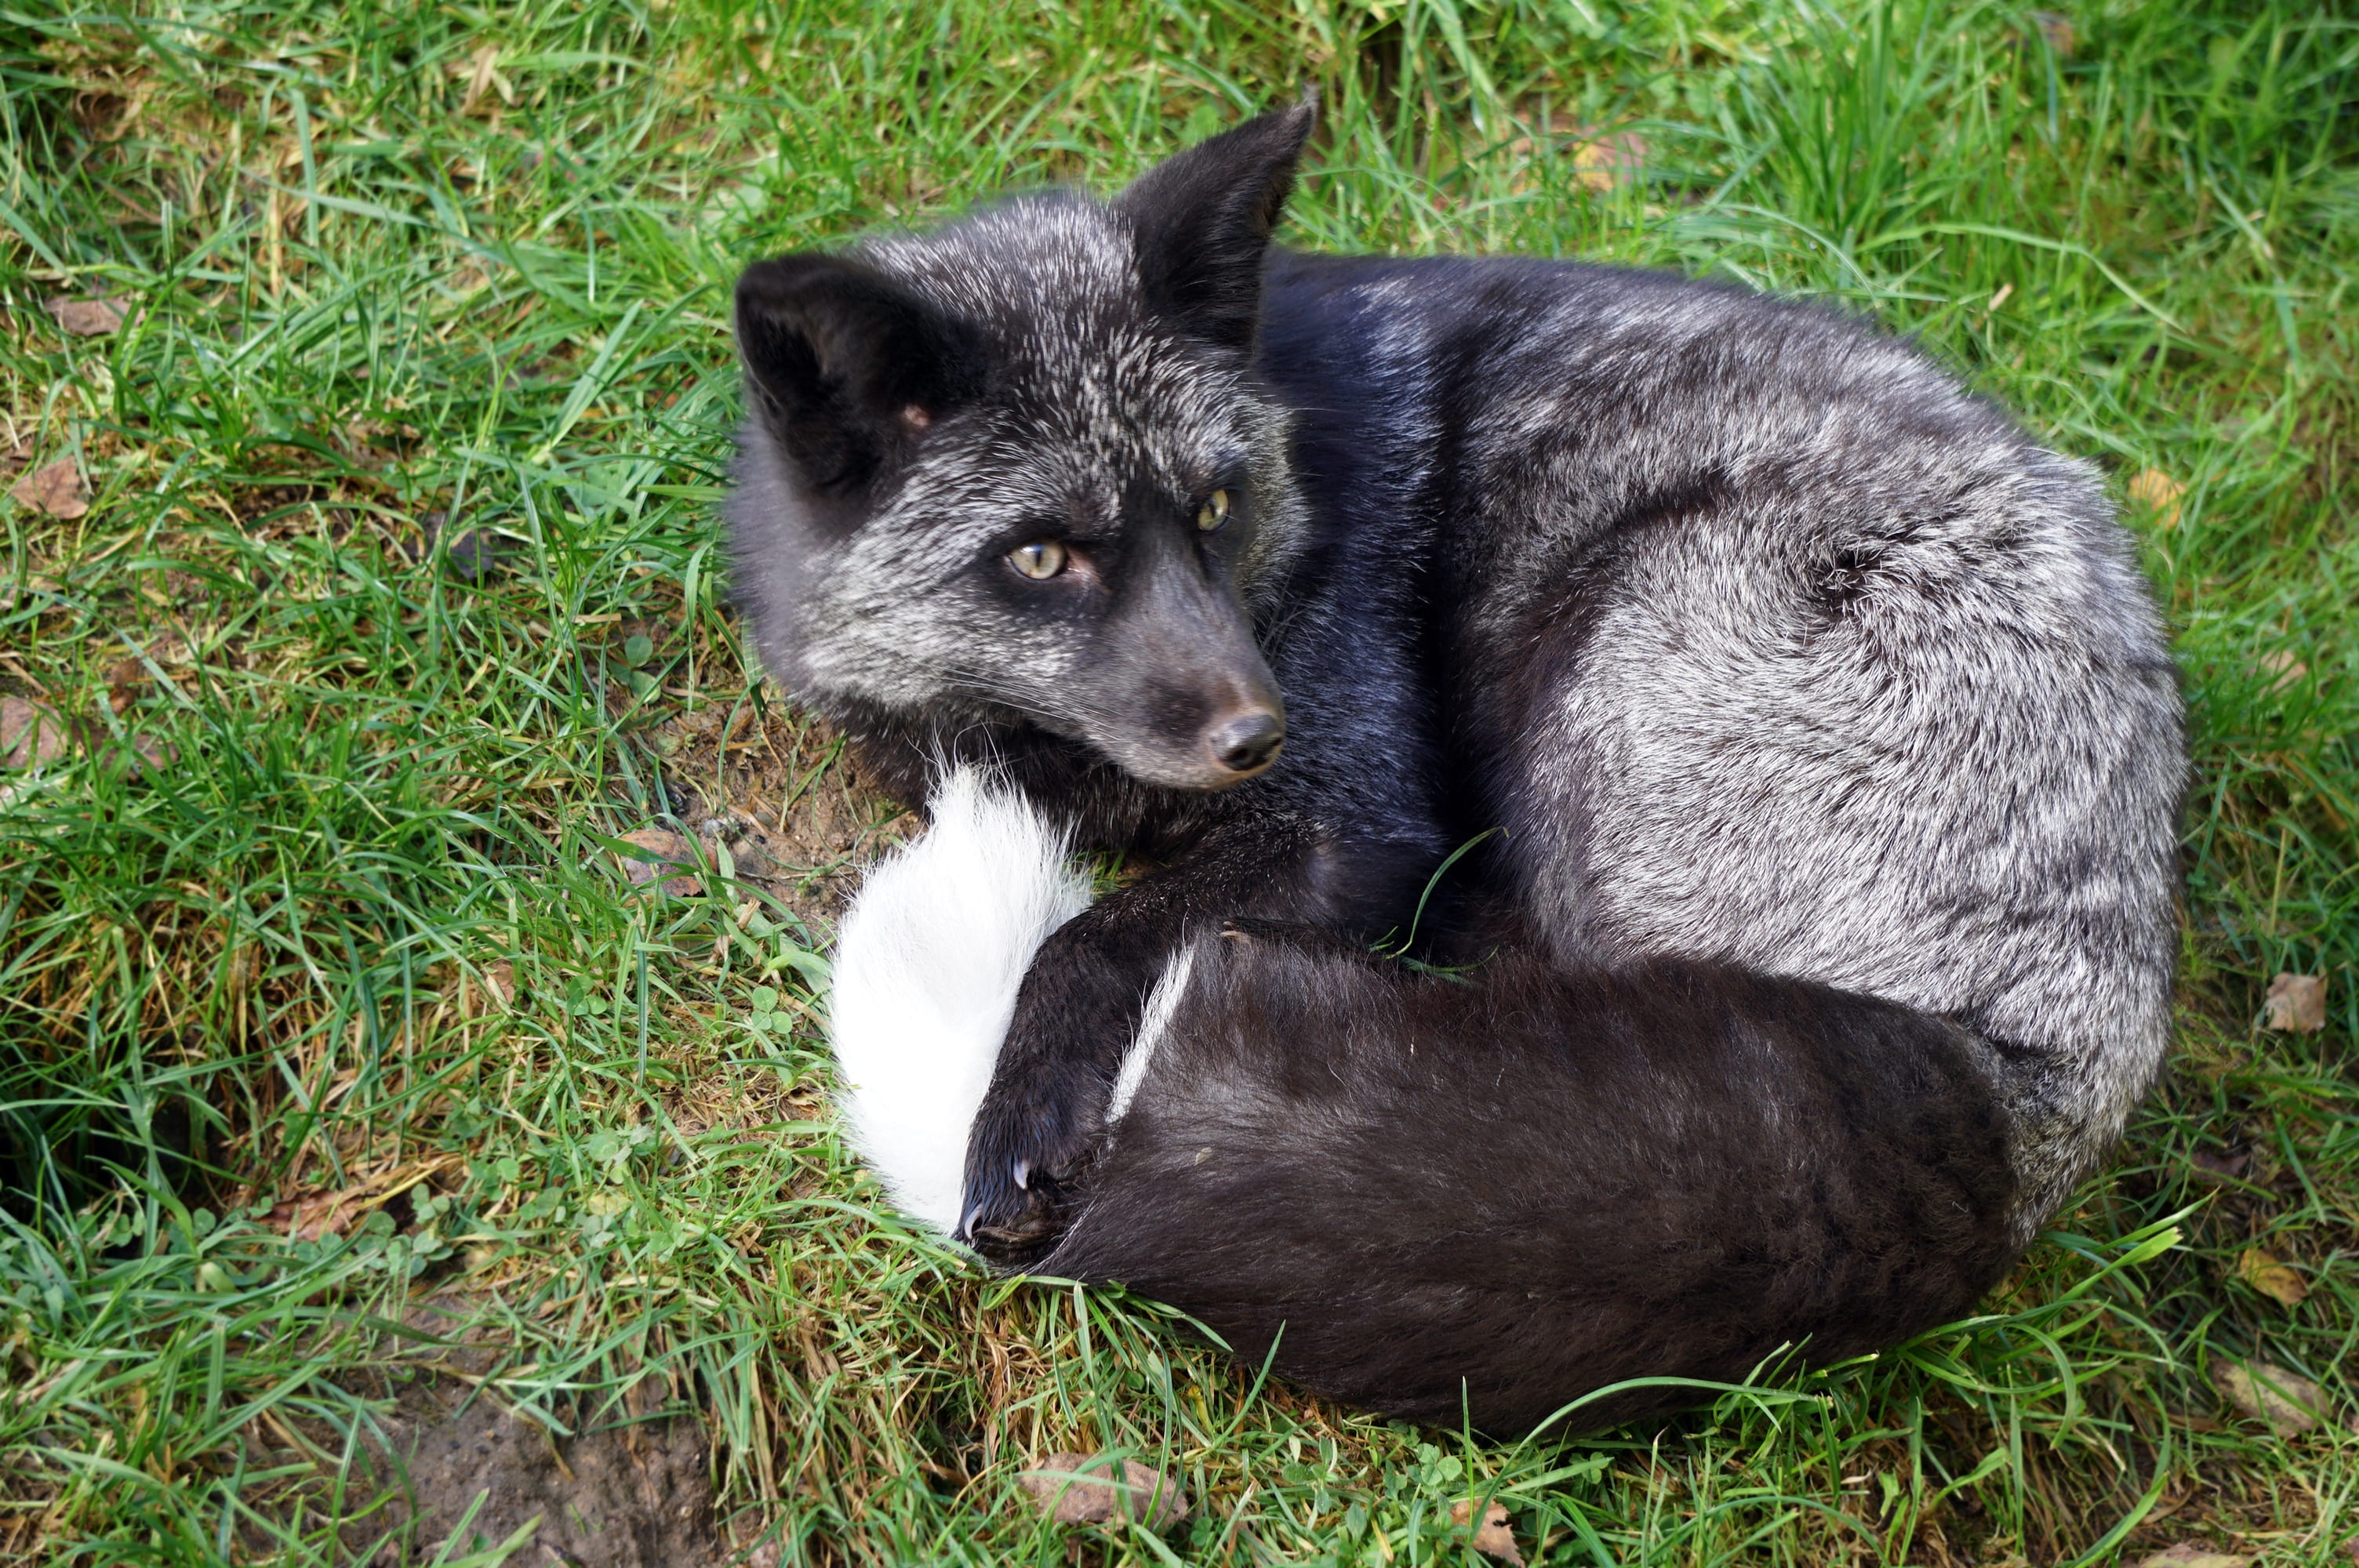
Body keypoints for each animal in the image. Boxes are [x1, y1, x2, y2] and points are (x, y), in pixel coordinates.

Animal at [723, 100, 2185, 1435]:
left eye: (1211, 508)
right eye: (1040, 557)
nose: (1260, 734)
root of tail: (2041, 1083)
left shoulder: (1355, 819)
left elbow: (1091, 938)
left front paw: (1024, 1109)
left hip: (1610, 647)